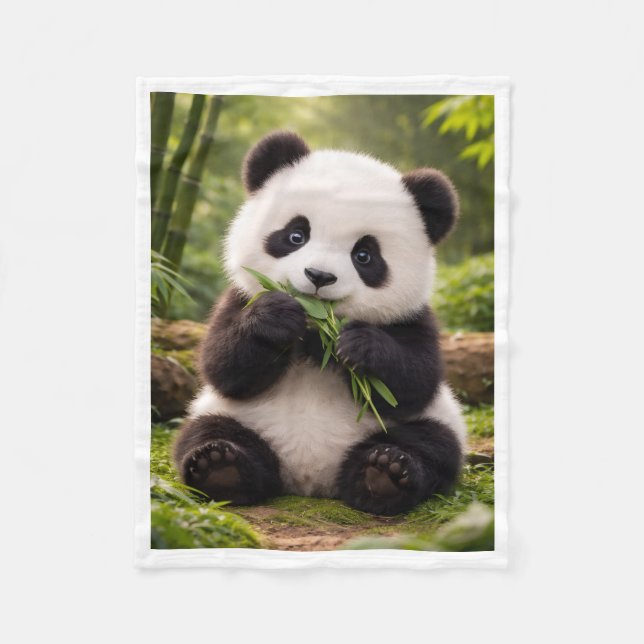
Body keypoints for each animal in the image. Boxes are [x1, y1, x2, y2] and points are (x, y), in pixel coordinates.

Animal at [174, 131, 467, 516]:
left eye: (364, 255)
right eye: (297, 235)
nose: (319, 276)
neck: (315, 331)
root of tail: (309, 479)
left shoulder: (413, 318)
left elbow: (417, 381)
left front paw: (360, 345)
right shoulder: (237, 298)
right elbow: (222, 365)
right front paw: (276, 317)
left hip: (431, 422)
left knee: (432, 444)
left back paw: (383, 475)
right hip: (229, 413)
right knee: (206, 431)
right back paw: (221, 468)